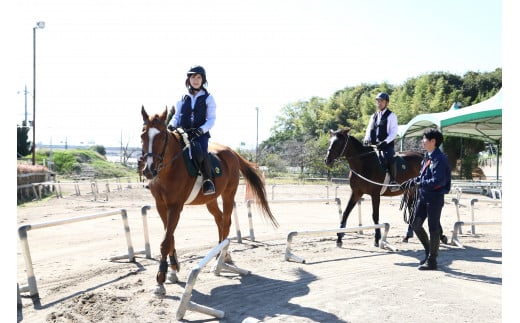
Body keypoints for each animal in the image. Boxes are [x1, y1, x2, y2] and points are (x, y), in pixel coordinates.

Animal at [138, 107, 276, 296]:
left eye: (162, 136)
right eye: (142, 135)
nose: (148, 171)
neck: (169, 169)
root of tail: (231, 152)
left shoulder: (175, 207)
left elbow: (166, 241)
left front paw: (160, 280)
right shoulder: (161, 206)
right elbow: (170, 237)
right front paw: (173, 271)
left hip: (228, 194)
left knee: (226, 221)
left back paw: (221, 258)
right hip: (210, 200)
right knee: (219, 220)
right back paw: (220, 255)